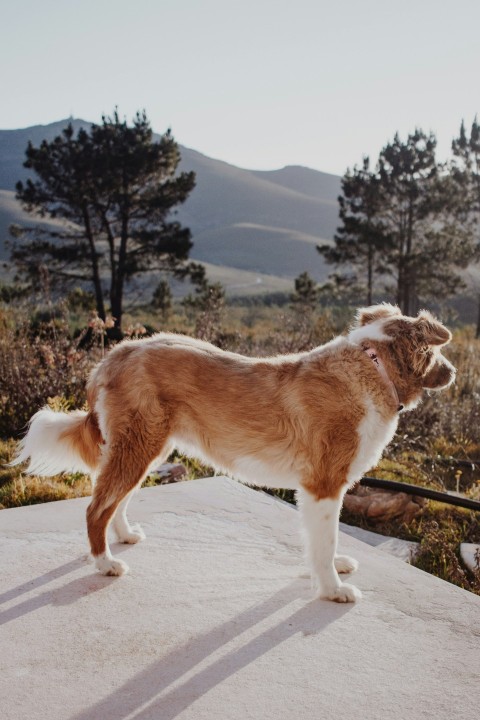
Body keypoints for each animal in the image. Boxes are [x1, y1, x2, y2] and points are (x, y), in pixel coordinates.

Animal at [14, 304, 454, 600]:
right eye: (435, 352)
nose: (453, 372)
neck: (371, 366)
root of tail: (115, 354)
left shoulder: (319, 491)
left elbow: (321, 542)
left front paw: (332, 568)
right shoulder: (323, 485)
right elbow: (325, 541)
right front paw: (332, 588)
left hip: (147, 446)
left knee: (116, 499)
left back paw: (123, 535)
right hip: (138, 445)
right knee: (96, 507)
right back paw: (105, 562)